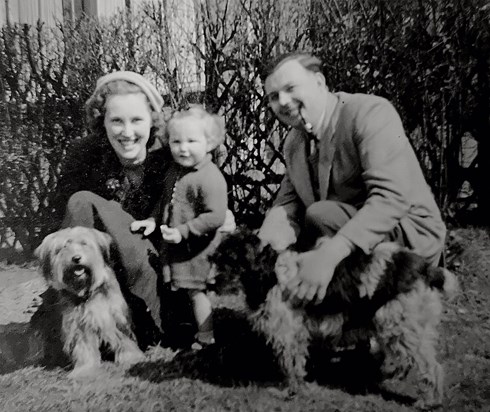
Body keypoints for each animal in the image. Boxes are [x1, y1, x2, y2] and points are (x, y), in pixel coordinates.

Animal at [35, 227, 144, 378]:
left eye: (84, 243)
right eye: (64, 247)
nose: (76, 258)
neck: (86, 291)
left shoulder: (115, 316)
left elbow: (124, 339)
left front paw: (132, 358)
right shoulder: (79, 324)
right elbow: (84, 348)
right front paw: (85, 370)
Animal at [212, 230, 458, 408]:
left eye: (229, 259)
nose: (211, 284)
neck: (269, 272)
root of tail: (426, 270)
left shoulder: (289, 334)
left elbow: (290, 366)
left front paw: (289, 392)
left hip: (400, 324)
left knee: (431, 367)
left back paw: (429, 401)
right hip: (401, 327)